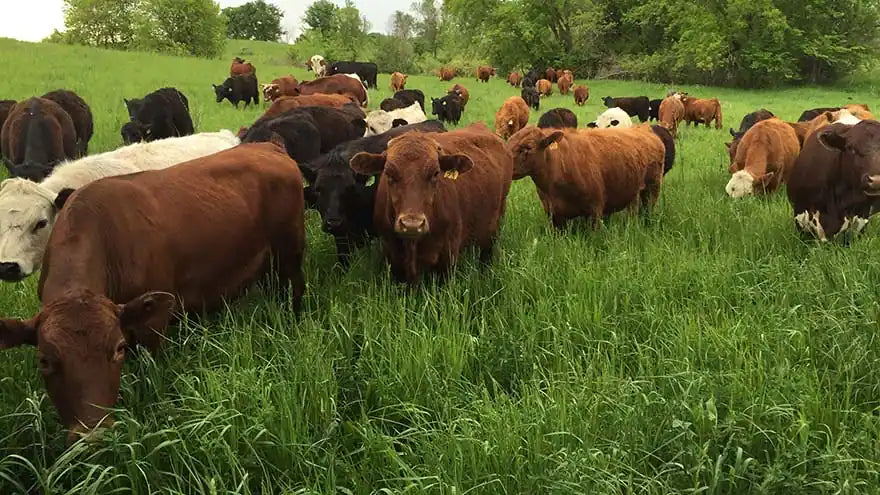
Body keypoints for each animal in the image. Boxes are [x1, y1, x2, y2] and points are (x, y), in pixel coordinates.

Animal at [348, 123, 516, 286]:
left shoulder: (447, 258)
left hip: (495, 223)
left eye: (435, 173)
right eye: (388, 173)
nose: (412, 224)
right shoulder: (392, 255)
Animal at [506, 126, 664, 231]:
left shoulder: (595, 210)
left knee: (647, 210)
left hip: (653, 188)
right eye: (508, 143)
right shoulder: (553, 214)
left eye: (527, 148)